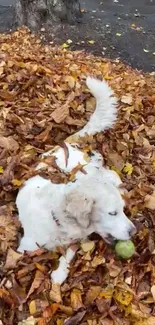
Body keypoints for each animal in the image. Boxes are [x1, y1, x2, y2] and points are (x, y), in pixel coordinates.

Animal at [16, 77, 136, 282]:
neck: (58, 220)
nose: (134, 231)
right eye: (112, 213)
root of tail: (67, 142)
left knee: (108, 173)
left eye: (122, 210)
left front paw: (60, 272)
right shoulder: (26, 247)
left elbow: (69, 252)